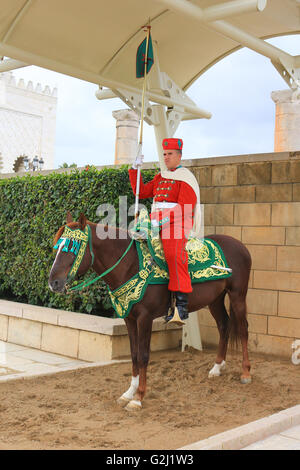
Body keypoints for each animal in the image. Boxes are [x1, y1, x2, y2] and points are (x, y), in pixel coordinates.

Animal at [49, 211, 253, 410]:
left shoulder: (144, 318)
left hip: (238, 295)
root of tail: (239, 245)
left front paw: (138, 398)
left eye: (72, 248)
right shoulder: (129, 319)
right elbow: (134, 355)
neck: (131, 265)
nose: (53, 283)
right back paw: (217, 368)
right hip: (215, 300)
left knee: (243, 329)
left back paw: (245, 373)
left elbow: (143, 356)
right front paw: (128, 393)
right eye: (57, 247)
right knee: (224, 325)